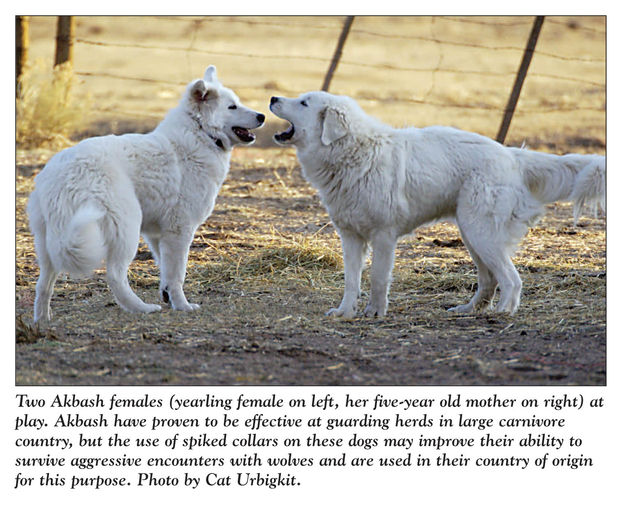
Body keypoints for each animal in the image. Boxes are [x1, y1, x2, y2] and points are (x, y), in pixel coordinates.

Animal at [28, 66, 264, 322]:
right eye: (232, 107)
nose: (262, 116)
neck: (200, 133)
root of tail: (61, 177)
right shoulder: (179, 231)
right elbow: (177, 274)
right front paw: (183, 305)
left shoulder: (157, 235)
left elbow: (166, 274)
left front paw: (169, 297)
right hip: (127, 228)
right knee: (115, 275)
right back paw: (142, 308)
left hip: (49, 242)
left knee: (43, 284)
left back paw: (42, 320)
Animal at [270, 91, 604, 316]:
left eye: (304, 103)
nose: (273, 97)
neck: (353, 151)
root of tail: (511, 155)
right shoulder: (351, 237)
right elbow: (351, 281)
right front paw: (344, 312)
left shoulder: (383, 236)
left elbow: (378, 278)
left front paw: (375, 312)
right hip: (471, 235)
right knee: (489, 281)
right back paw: (469, 311)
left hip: (481, 234)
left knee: (512, 278)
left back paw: (503, 313)